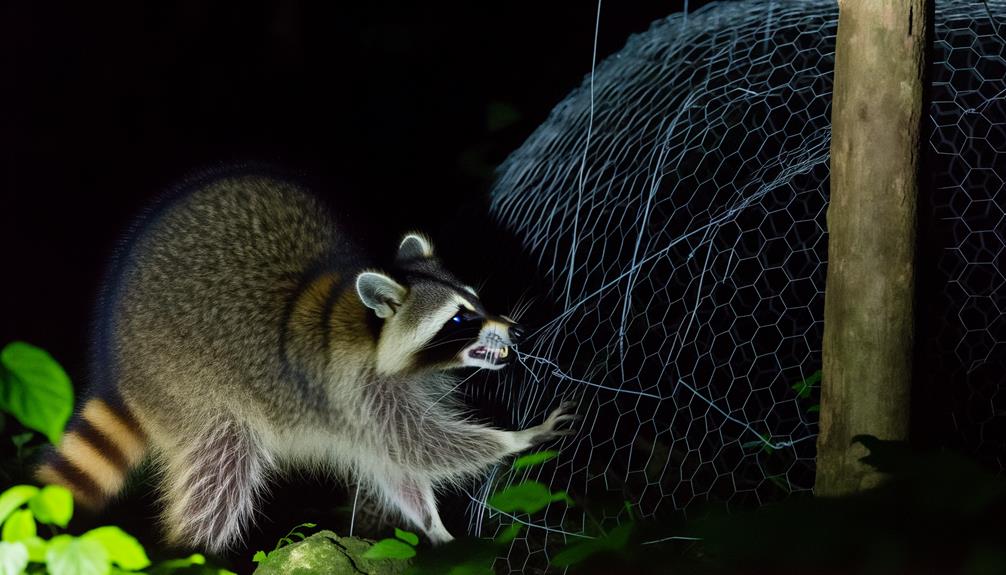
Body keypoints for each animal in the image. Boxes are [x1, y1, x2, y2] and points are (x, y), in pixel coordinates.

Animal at [37, 171, 575, 550]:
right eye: (461, 318)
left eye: (477, 301)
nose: (514, 329)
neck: (371, 330)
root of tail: (115, 367)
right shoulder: (352, 387)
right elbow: (421, 445)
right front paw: (519, 438)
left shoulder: (369, 408)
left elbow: (393, 462)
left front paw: (433, 526)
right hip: (185, 382)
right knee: (221, 466)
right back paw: (196, 551)